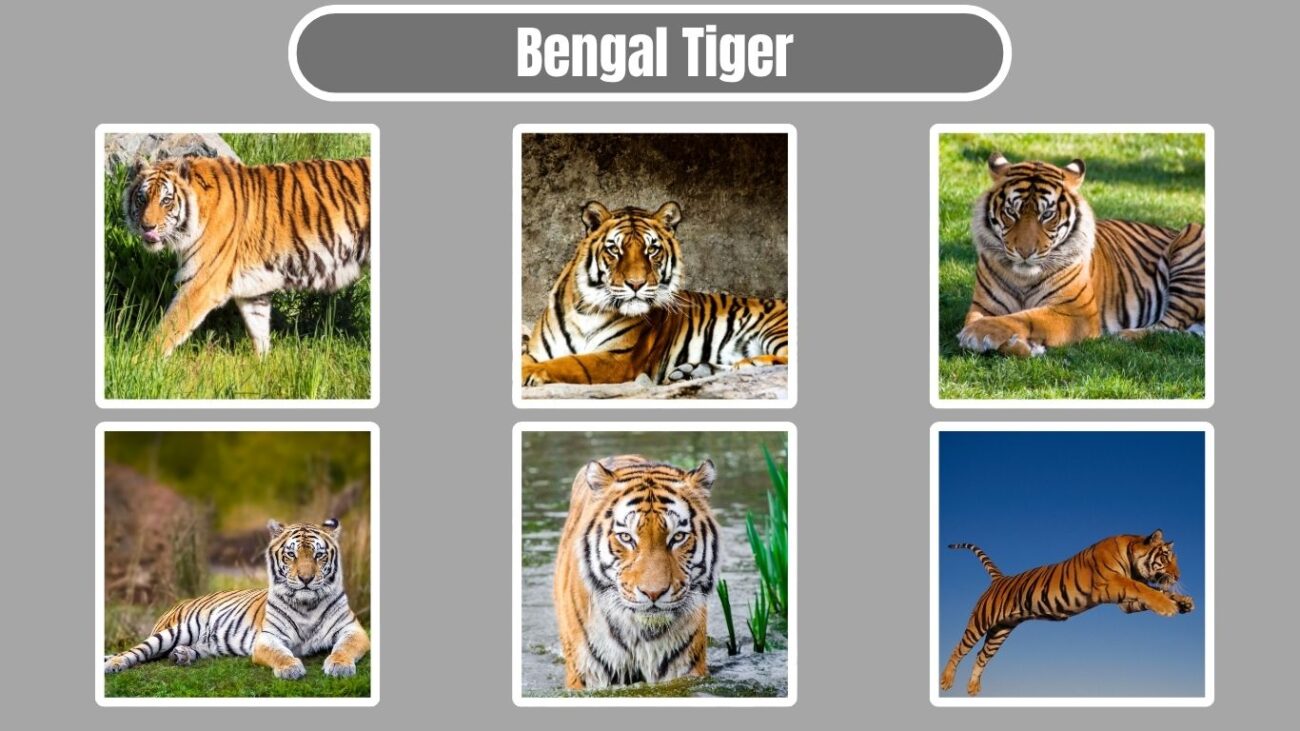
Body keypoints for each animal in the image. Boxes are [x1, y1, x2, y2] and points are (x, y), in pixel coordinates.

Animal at [104, 519, 369, 680]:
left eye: (319, 555)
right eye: (291, 555)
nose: (306, 578)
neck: (307, 605)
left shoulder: (353, 629)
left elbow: (345, 647)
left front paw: (340, 665)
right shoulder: (268, 638)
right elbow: (280, 654)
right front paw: (290, 668)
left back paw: (182, 656)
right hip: (171, 632)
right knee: (137, 651)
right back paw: (113, 664)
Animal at [122, 154, 371, 356]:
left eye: (166, 200)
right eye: (142, 199)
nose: (147, 227)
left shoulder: (201, 284)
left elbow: (168, 328)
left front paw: (139, 360)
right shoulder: (253, 290)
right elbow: (258, 328)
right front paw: (264, 366)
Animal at [521, 201, 789, 386]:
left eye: (652, 250)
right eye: (614, 249)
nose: (636, 284)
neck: (587, 308)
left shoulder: (620, 357)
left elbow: (570, 362)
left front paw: (528, 373)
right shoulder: (536, 351)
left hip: (776, 329)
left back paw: (746, 363)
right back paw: (692, 371)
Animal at [940, 530, 1194, 696]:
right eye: (1165, 557)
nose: (1178, 576)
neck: (1131, 560)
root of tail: (999, 579)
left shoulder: (1125, 604)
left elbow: (1154, 590)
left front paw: (1183, 602)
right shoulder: (1112, 584)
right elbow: (1144, 588)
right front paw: (1168, 606)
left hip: (1000, 632)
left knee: (981, 656)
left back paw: (972, 688)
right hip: (980, 622)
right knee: (959, 649)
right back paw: (945, 681)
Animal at [957, 153, 1205, 357]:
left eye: (1047, 215)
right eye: (1011, 212)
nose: (1025, 253)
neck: (1023, 277)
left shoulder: (1075, 312)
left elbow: (1025, 317)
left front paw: (978, 333)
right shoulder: (984, 305)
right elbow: (976, 319)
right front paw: (1022, 346)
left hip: (1192, 238)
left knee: (1168, 325)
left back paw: (1125, 335)